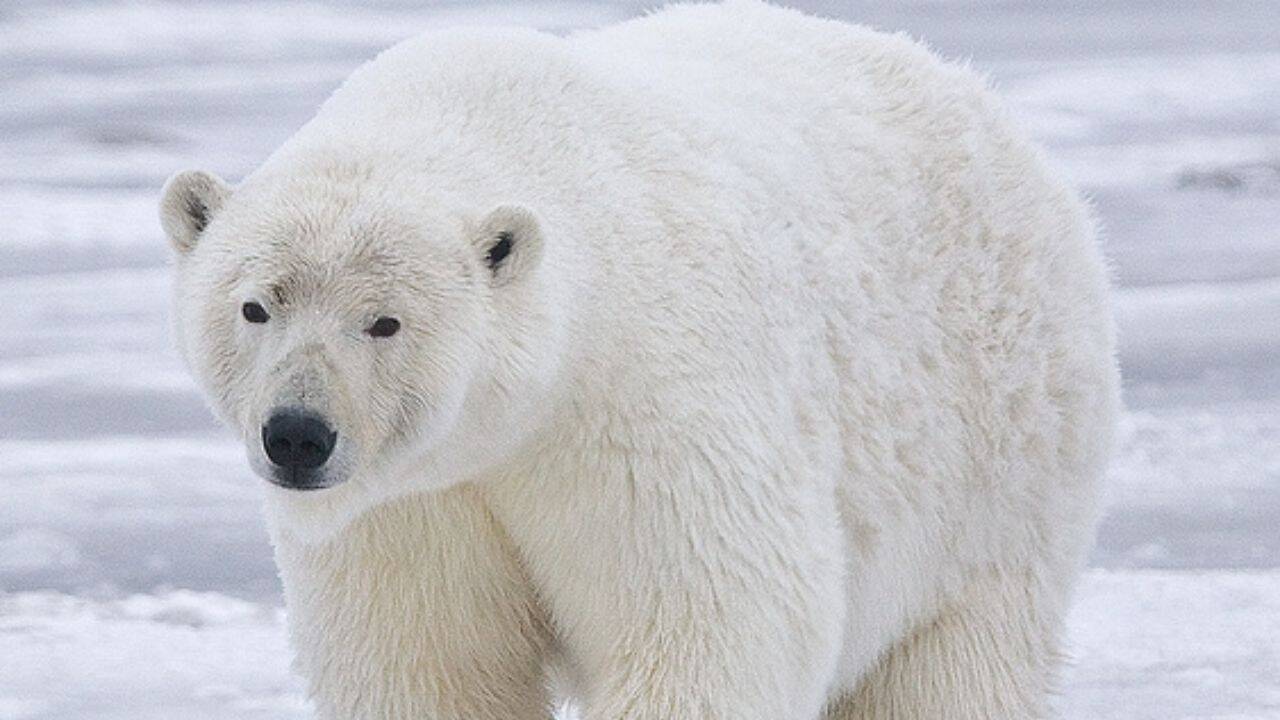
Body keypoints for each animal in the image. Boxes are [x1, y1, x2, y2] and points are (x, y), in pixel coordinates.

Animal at [159, 1, 1119, 718]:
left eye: (384, 322)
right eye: (256, 305)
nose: (297, 435)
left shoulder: (643, 409)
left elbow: (713, 625)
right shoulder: (413, 503)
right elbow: (425, 657)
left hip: (998, 461)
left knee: (951, 662)